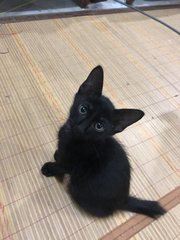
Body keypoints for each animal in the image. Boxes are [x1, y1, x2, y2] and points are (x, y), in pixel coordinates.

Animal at [41, 65, 167, 218]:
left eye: (99, 126)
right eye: (83, 109)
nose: (80, 127)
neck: (72, 138)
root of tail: (123, 200)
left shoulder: (75, 165)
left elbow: (61, 166)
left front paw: (50, 168)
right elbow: (60, 155)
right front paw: (57, 154)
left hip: (78, 186)